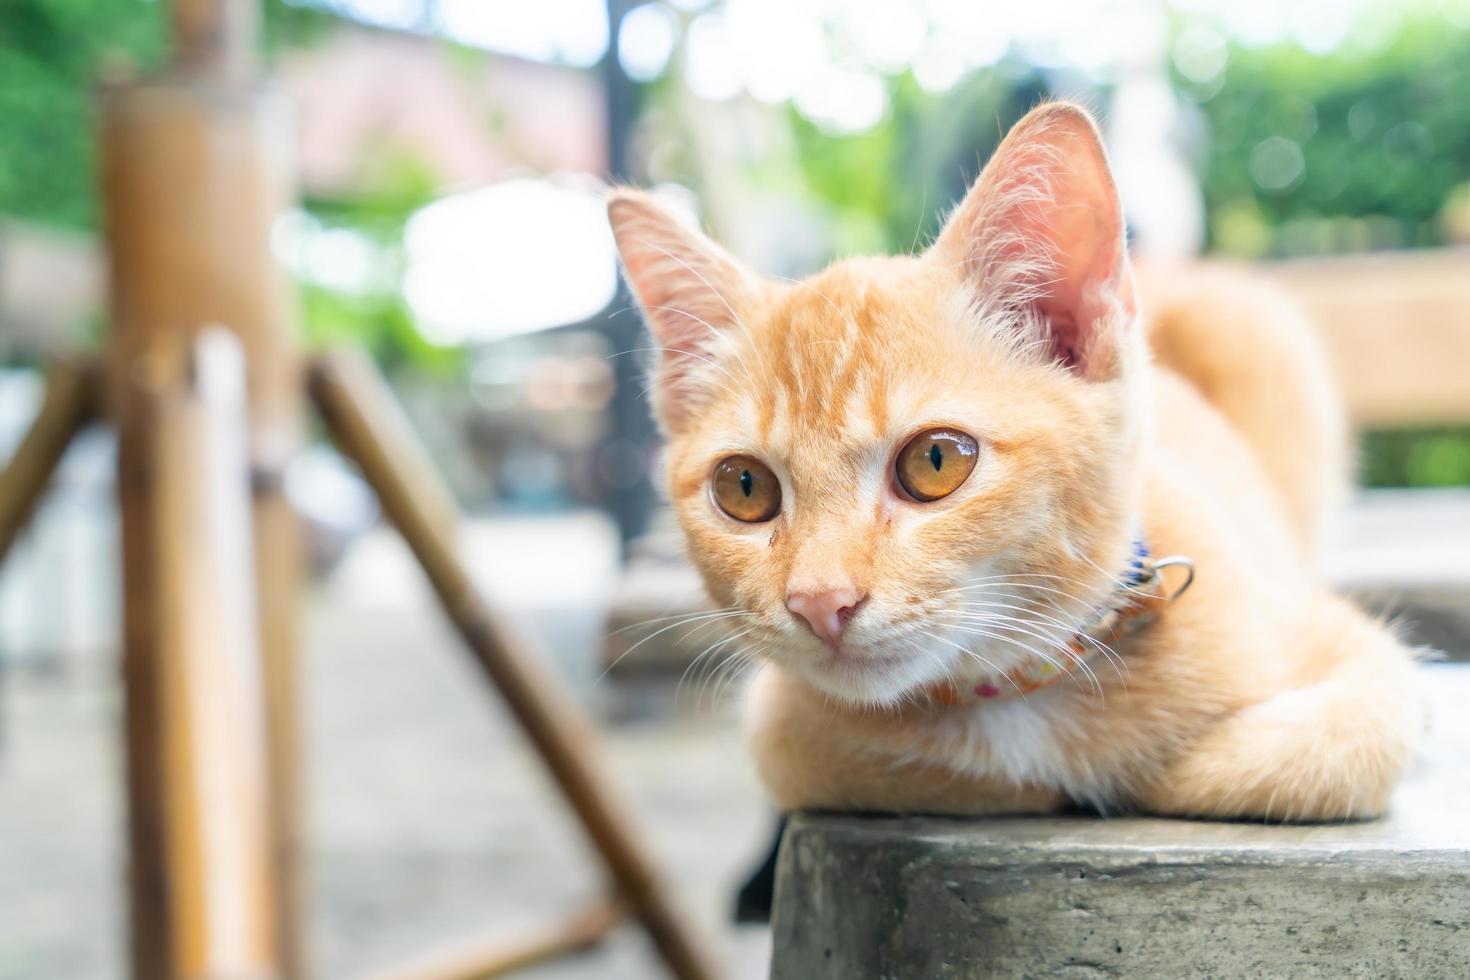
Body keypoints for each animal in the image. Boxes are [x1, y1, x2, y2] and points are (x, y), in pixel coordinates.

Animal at [605, 101, 1422, 822]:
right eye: (743, 487)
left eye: (936, 461)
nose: (819, 602)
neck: (1017, 692)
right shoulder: (783, 720)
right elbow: (828, 754)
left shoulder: (1361, 660)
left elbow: (1334, 747)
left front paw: (1158, 771)